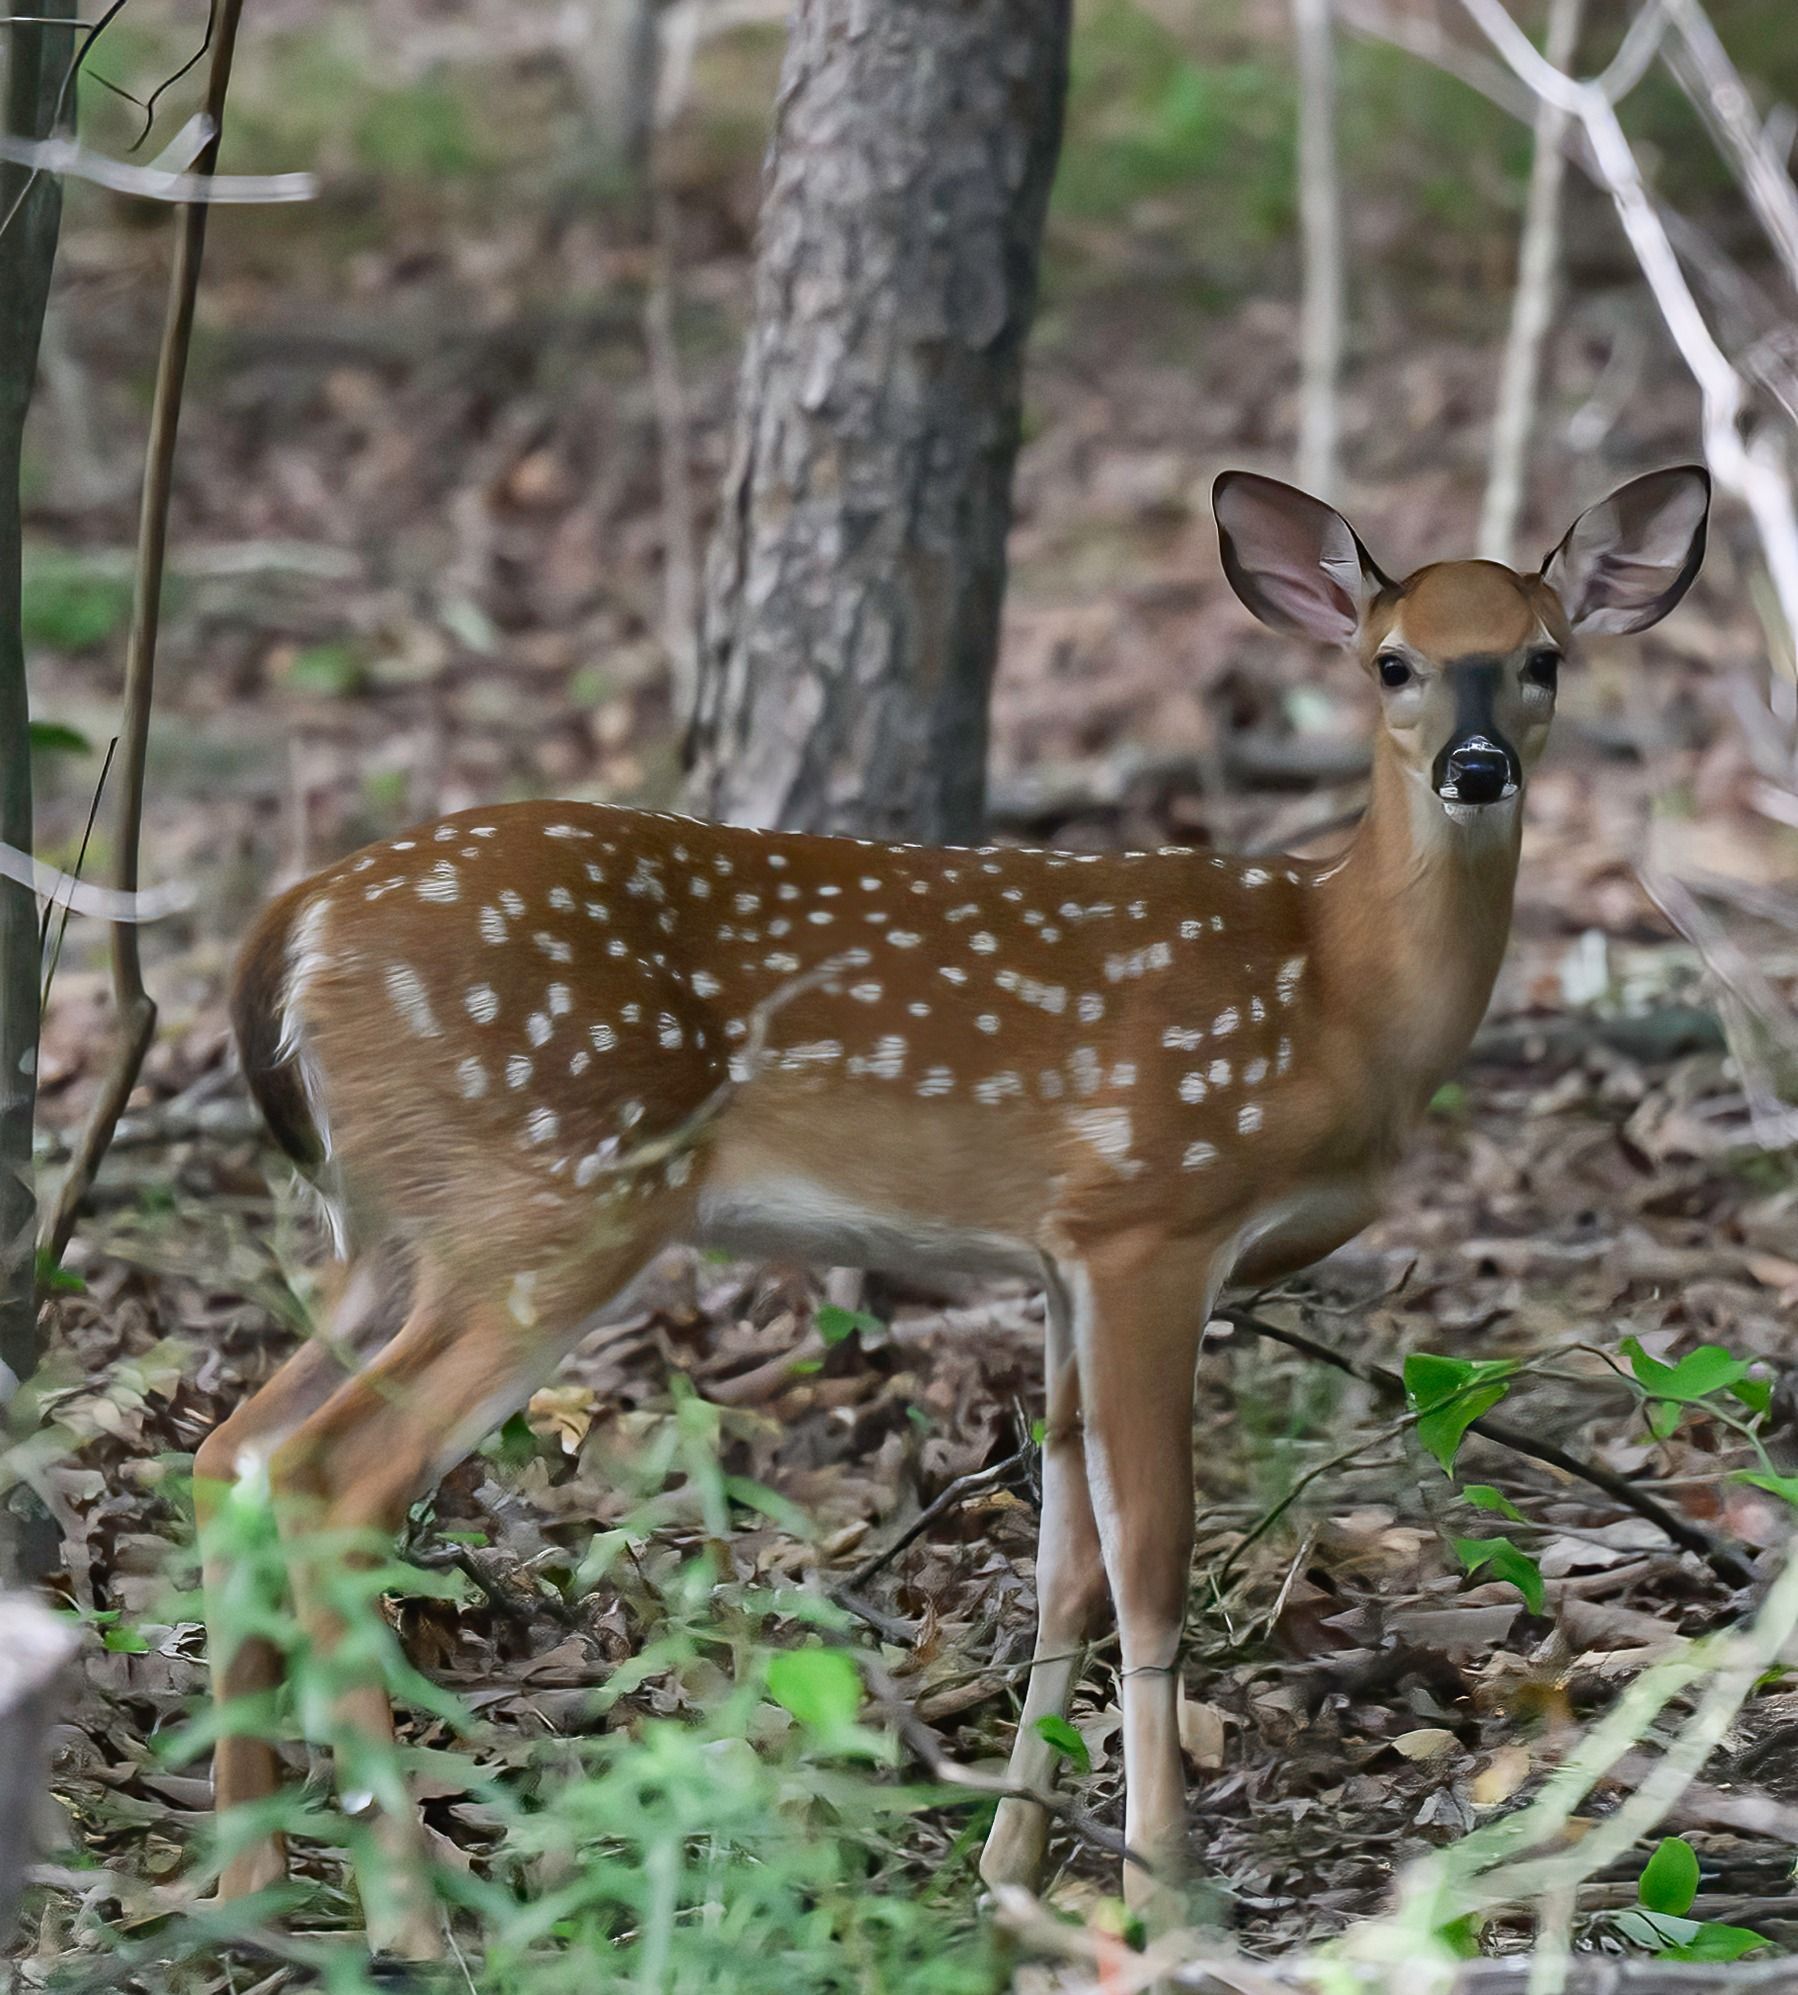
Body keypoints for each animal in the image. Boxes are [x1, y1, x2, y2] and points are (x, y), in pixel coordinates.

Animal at [193, 464, 1710, 1955]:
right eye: (1392, 661)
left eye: (1541, 657)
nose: (1476, 766)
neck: (1339, 990)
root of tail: (295, 925)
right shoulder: (1152, 1212)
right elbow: (1152, 1552)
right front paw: (1163, 1890)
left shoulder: (1056, 1253)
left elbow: (1065, 1563)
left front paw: (1014, 1870)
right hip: (548, 1197)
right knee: (333, 1478)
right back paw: (403, 1919)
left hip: (398, 1230)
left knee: (236, 1449)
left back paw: (249, 1882)